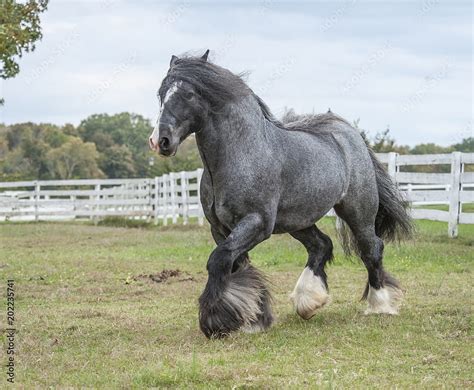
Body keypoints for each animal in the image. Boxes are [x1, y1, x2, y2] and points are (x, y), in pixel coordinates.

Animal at [148, 51, 412, 338]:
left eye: (189, 94)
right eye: (161, 93)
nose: (160, 141)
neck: (242, 153)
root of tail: (350, 134)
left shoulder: (257, 222)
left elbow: (219, 260)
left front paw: (216, 322)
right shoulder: (220, 228)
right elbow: (236, 265)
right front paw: (254, 319)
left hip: (357, 212)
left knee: (371, 249)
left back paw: (380, 305)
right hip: (298, 220)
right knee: (321, 245)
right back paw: (308, 302)